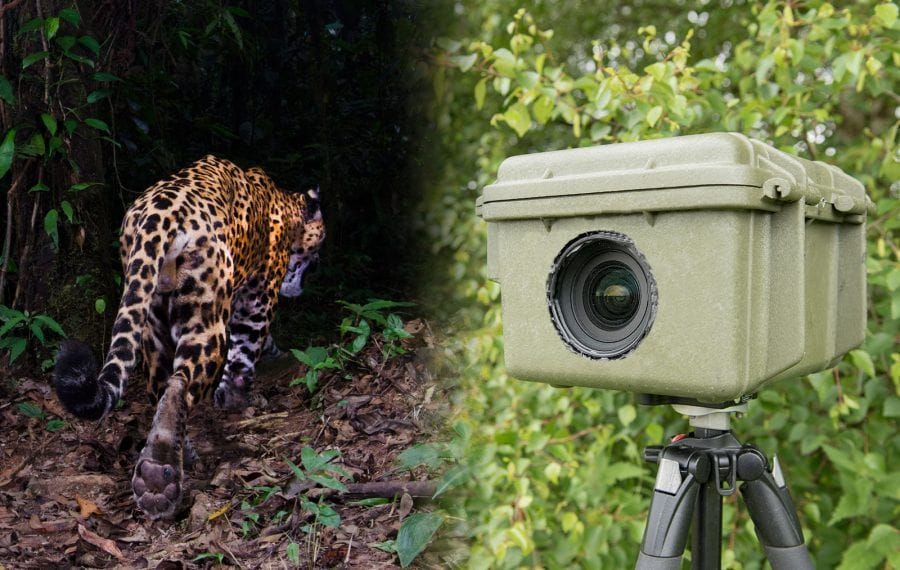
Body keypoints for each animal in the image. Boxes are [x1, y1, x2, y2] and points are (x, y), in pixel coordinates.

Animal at [53, 155, 324, 520]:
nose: (303, 283)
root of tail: (156, 216)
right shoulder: (258, 297)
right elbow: (245, 352)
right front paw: (238, 399)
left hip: (151, 318)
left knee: (160, 386)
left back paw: (171, 461)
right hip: (206, 316)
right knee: (179, 384)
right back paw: (161, 471)